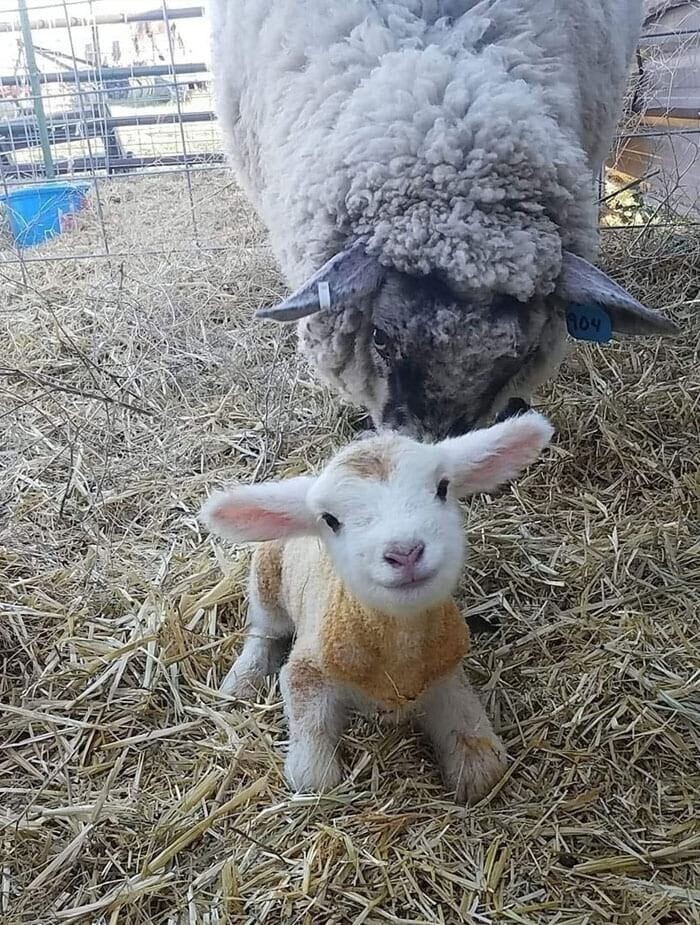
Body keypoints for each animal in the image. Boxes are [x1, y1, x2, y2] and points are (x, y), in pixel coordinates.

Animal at [200, 412, 556, 800]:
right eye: (330, 519)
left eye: (442, 487)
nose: (405, 552)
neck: (398, 650)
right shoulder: (308, 670)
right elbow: (313, 776)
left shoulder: (445, 671)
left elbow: (483, 760)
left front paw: (473, 767)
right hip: (266, 578)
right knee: (264, 629)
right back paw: (243, 679)